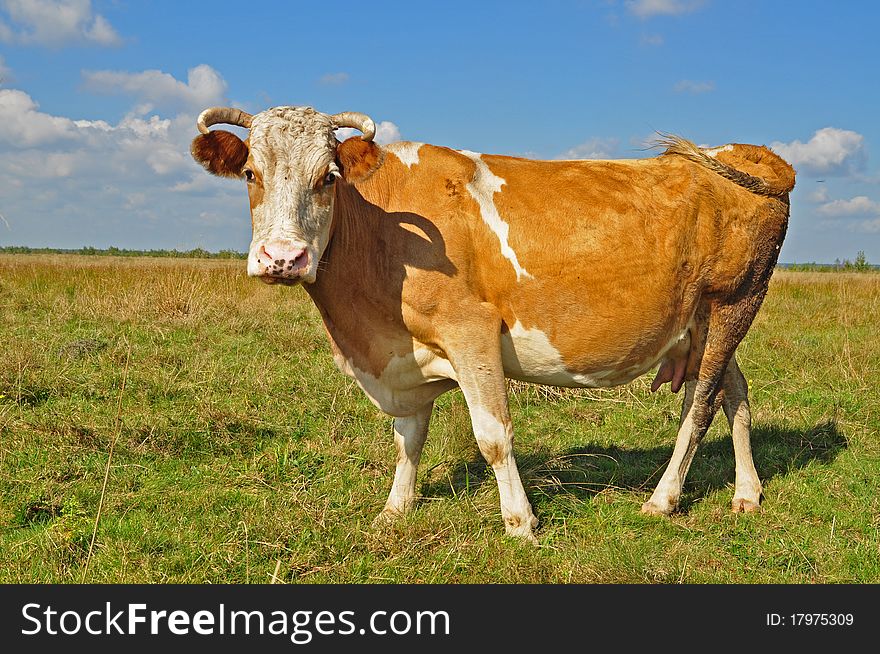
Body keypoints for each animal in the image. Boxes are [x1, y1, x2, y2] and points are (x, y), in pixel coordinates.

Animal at [189, 105, 796, 544]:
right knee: (735, 392)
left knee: (701, 405)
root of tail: (745, 151)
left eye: (327, 177)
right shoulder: (407, 353)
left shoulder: (470, 331)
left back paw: (662, 500)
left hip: (735, 301)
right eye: (251, 174)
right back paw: (747, 493)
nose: (282, 258)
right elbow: (408, 437)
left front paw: (520, 522)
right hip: (704, 323)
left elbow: (494, 436)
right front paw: (395, 508)